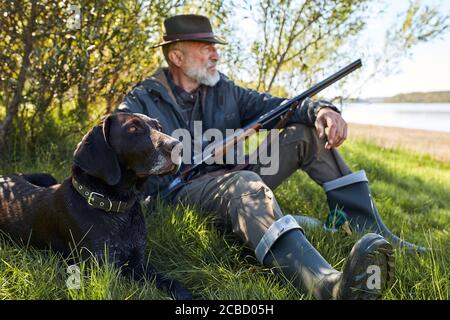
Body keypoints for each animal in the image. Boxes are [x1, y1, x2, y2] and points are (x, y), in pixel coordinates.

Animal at [0, 112, 192, 300]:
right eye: (133, 128)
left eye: (159, 127)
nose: (179, 147)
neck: (115, 207)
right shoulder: (101, 270)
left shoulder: (138, 263)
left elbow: (171, 282)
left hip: (48, 177)